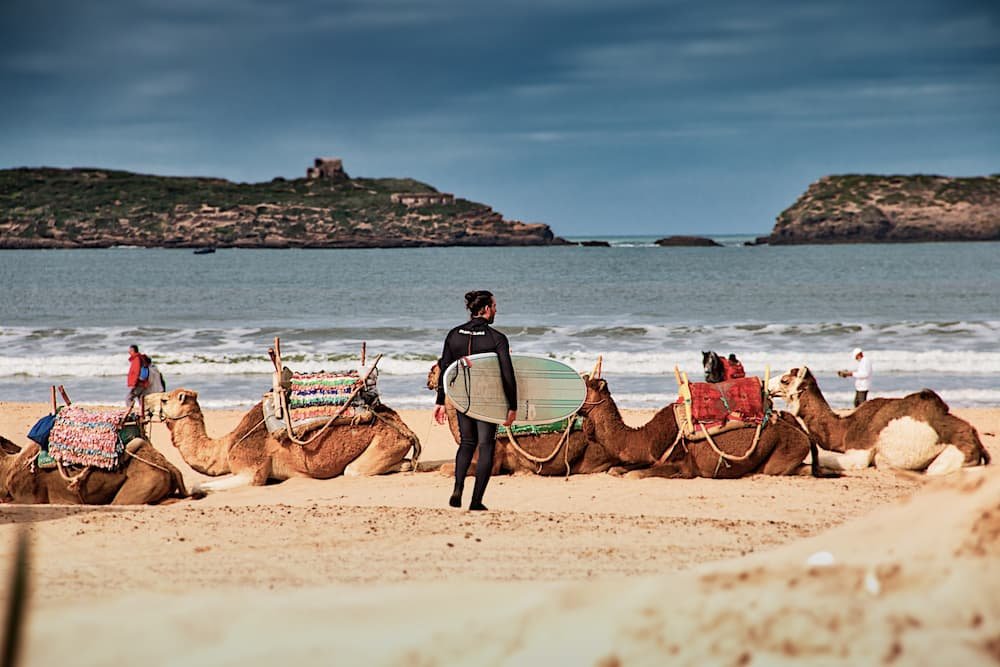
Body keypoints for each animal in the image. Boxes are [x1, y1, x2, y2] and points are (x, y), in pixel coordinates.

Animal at [151, 388, 422, 494]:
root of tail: (404, 427)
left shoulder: (252, 470)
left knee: (353, 470)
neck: (226, 447)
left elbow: (199, 485)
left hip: (385, 442)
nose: (147, 403)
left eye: (165, 399)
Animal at [576, 376, 832, 480]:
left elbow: (635, 474)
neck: (645, 438)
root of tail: (802, 432)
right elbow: (617, 469)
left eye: (584, 385)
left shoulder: (683, 465)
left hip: (784, 451)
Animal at [768, 366, 988, 474]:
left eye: (785, 380)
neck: (846, 427)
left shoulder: (860, 451)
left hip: (955, 454)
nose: (767, 386)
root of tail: (976, 440)